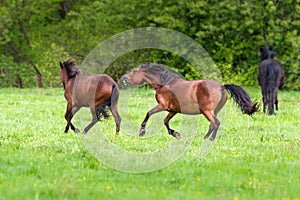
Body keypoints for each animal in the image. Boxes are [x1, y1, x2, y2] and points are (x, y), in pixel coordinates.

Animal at [119, 62, 258, 141]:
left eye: (134, 71)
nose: (123, 79)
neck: (164, 84)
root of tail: (221, 87)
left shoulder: (162, 105)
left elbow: (148, 113)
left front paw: (142, 132)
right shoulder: (173, 110)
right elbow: (165, 121)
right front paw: (176, 134)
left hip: (206, 110)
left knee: (216, 123)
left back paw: (210, 139)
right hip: (213, 111)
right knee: (212, 124)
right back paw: (204, 138)